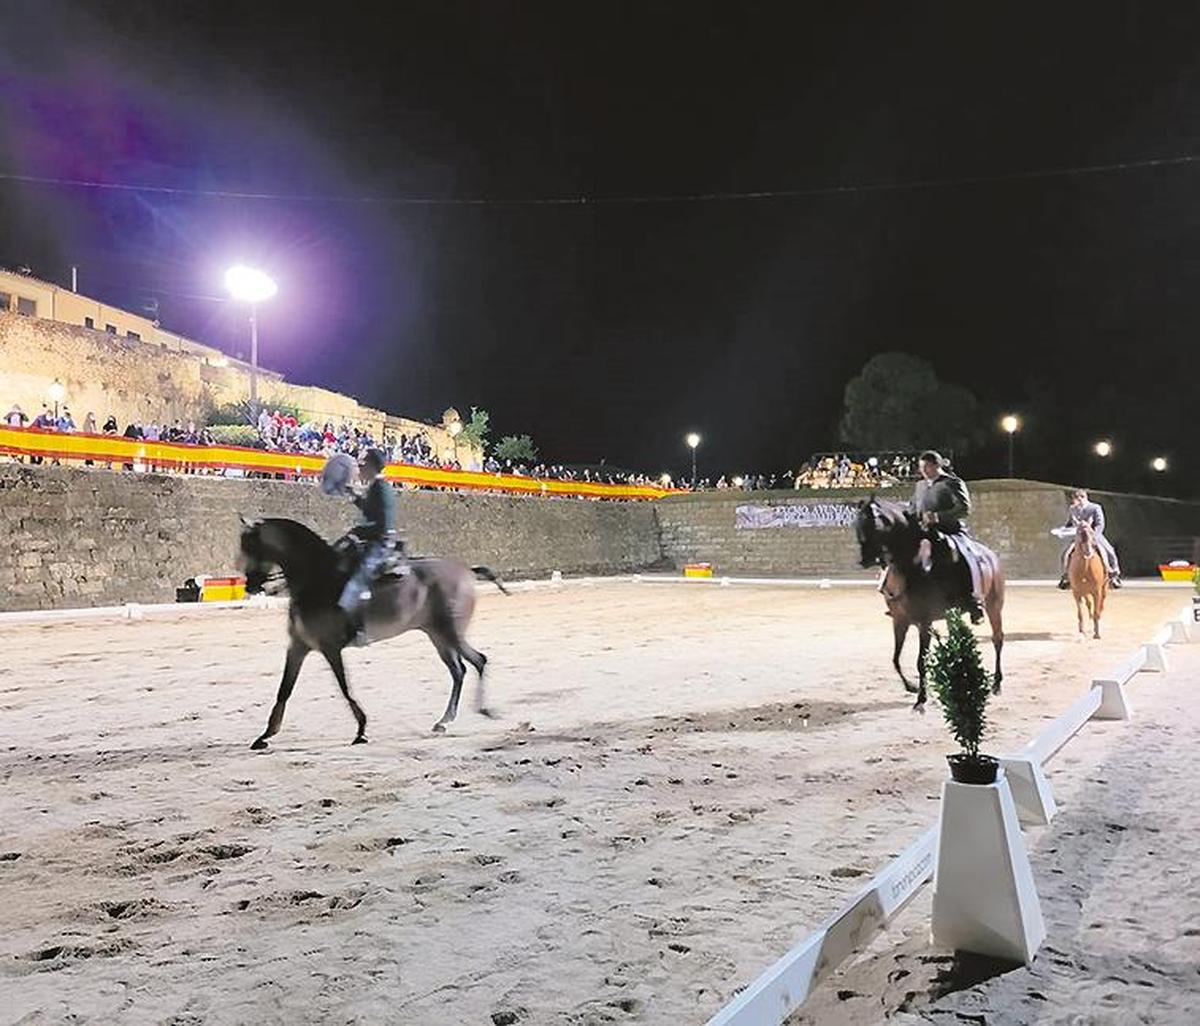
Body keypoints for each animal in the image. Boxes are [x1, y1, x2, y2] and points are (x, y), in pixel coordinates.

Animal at [236, 518, 508, 748]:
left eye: (253, 548)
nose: (250, 586)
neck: (317, 579)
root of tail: (467, 571)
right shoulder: (298, 646)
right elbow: (284, 690)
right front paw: (265, 735)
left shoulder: (330, 647)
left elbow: (345, 688)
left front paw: (362, 731)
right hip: (437, 636)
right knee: (459, 670)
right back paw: (445, 721)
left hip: (451, 633)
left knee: (478, 661)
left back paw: (482, 711)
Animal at [854, 499, 1003, 710]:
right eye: (856, 524)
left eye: (874, 524)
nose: (864, 560)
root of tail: (991, 556)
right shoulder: (900, 621)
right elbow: (896, 658)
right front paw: (912, 687)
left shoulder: (924, 622)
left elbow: (920, 661)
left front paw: (921, 699)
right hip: (952, 614)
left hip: (994, 606)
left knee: (998, 638)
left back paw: (996, 684)